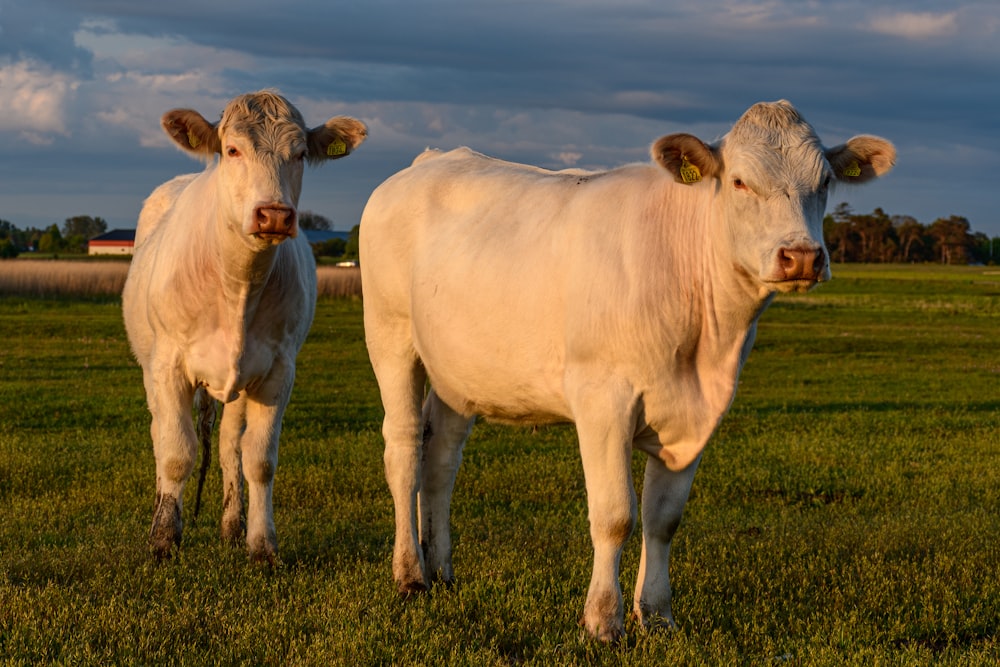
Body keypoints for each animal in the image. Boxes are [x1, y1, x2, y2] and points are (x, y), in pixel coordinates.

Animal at [124, 87, 368, 560]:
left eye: (299, 154)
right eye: (233, 150)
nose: (273, 215)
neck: (238, 284)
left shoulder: (277, 370)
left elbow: (259, 459)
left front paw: (261, 544)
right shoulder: (168, 365)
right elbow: (176, 453)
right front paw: (163, 539)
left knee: (227, 444)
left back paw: (231, 524)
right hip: (149, 366)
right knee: (160, 433)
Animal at [364, 100, 896, 640]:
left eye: (824, 181)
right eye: (740, 181)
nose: (802, 257)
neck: (703, 346)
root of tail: (430, 160)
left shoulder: (697, 415)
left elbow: (663, 518)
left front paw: (657, 614)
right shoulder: (603, 400)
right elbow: (615, 514)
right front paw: (603, 619)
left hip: (457, 371)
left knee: (441, 459)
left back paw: (441, 570)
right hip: (390, 334)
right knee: (404, 448)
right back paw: (410, 575)